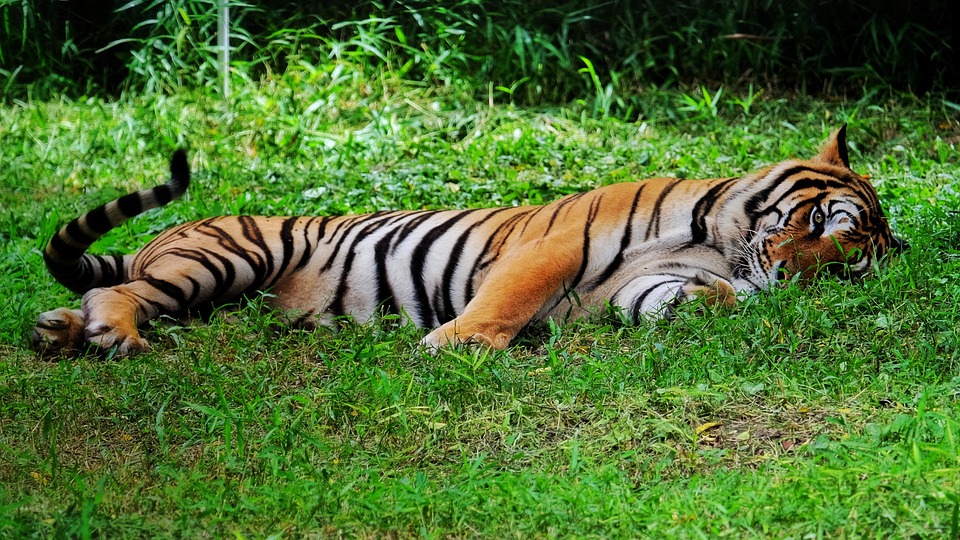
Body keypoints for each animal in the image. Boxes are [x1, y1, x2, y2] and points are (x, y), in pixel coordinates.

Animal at [31, 126, 905, 357]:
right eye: (818, 224)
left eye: (842, 267)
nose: (788, 278)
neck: (721, 241)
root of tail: (168, 234)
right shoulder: (551, 249)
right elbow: (508, 303)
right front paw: (454, 346)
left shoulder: (641, 288)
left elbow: (682, 298)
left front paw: (719, 298)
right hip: (230, 255)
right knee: (121, 288)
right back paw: (108, 332)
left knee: (110, 290)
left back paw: (60, 331)